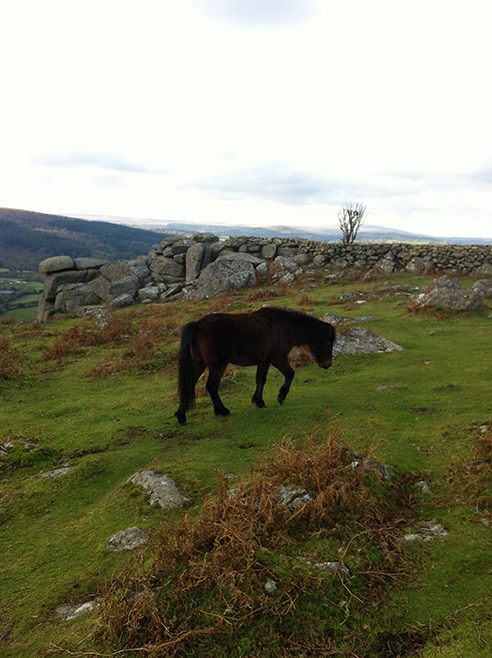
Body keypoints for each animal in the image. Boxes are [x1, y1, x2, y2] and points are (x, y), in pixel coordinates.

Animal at [173, 306, 334, 426]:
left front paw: (259, 401)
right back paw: (223, 410)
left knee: (188, 385)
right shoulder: (277, 358)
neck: (285, 326)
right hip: (217, 365)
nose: (327, 364)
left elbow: (260, 380)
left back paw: (181, 416)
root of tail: (198, 325)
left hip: (199, 364)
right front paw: (281, 396)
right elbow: (290, 374)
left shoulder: (265, 361)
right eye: (327, 341)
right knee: (211, 386)